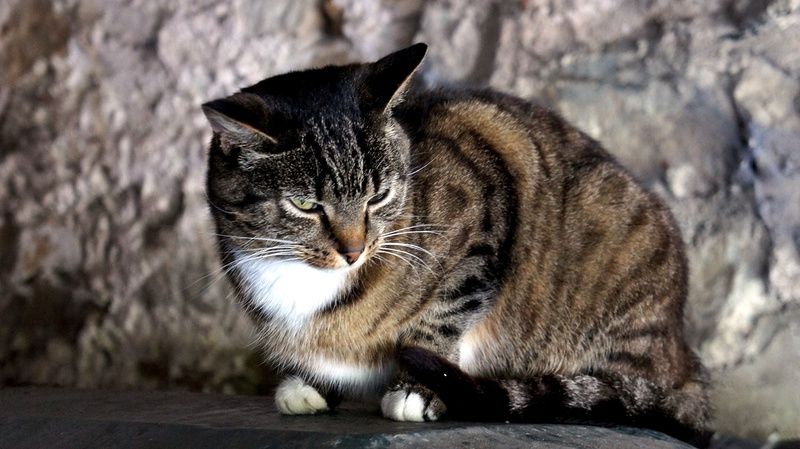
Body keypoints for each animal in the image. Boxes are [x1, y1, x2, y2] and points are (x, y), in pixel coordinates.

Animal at [203, 43, 708, 440]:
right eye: (306, 205)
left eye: (378, 196)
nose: (353, 251)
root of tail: (681, 350)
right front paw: (312, 384)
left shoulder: (483, 203)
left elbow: (444, 313)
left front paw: (416, 388)